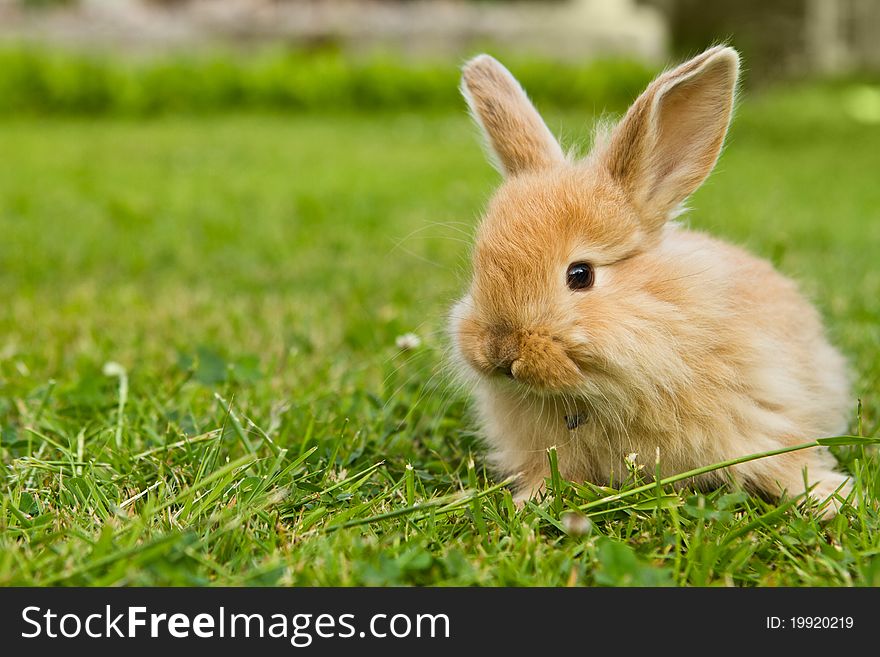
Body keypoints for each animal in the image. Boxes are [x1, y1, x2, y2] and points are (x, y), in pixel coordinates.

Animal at [446, 46, 852, 516]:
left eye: (580, 275)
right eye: (478, 270)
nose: (499, 349)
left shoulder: (766, 413)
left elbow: (785, 462)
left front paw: (833, 497)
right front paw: (526, 504)